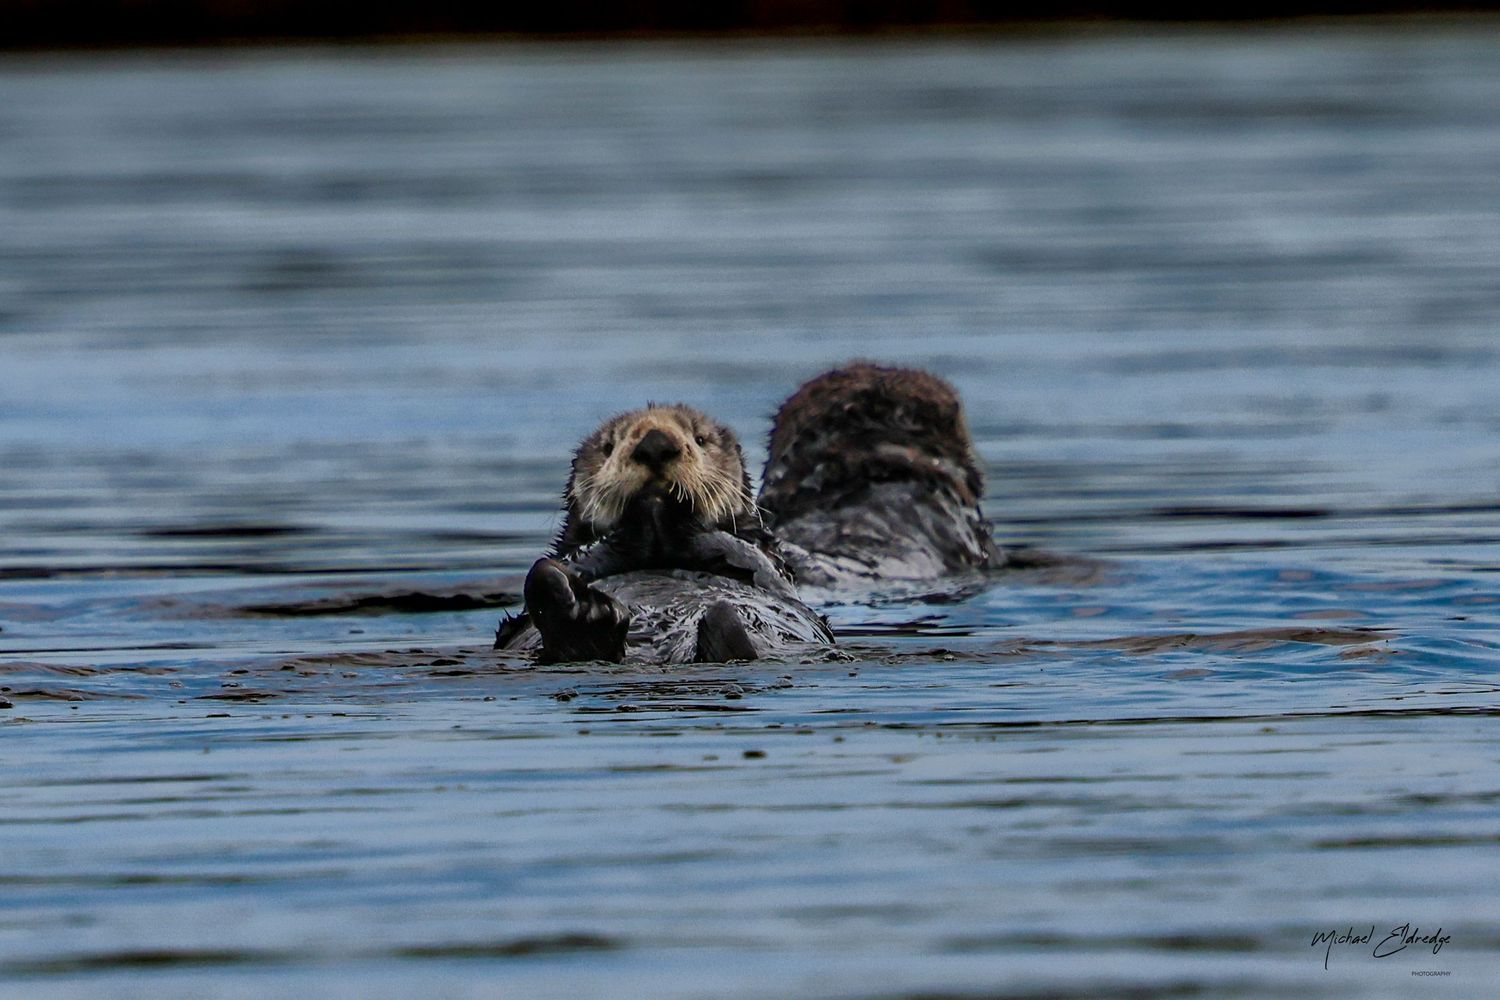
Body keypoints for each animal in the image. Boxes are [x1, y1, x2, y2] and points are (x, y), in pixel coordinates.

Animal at [496, 404, 833, 664]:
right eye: (608, 447)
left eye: (700, 439)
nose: (655, 443)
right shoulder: (575, 553)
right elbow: (579, 556)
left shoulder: (769, 564)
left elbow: (753, 559)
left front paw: (673, 514)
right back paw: (582, 611)